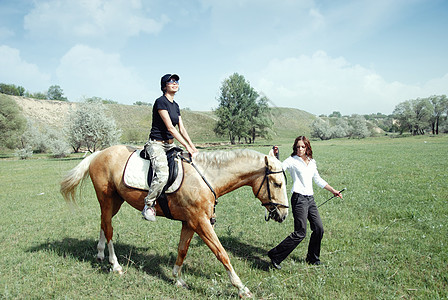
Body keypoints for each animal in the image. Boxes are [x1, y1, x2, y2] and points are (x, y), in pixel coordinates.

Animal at [59, 145, 288, 298]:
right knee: (108, 229)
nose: (283, 214)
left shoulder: (190, 222)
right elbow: (221, 253)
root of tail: (99, 153)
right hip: (107, 199)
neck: (207, 177)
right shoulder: (201, 222)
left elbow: (182, 249)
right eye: (277, 184)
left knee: (103, 223)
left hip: (115, 201)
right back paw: (115, 265)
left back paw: (100, 254)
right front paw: (241, 288)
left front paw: (177, 278)